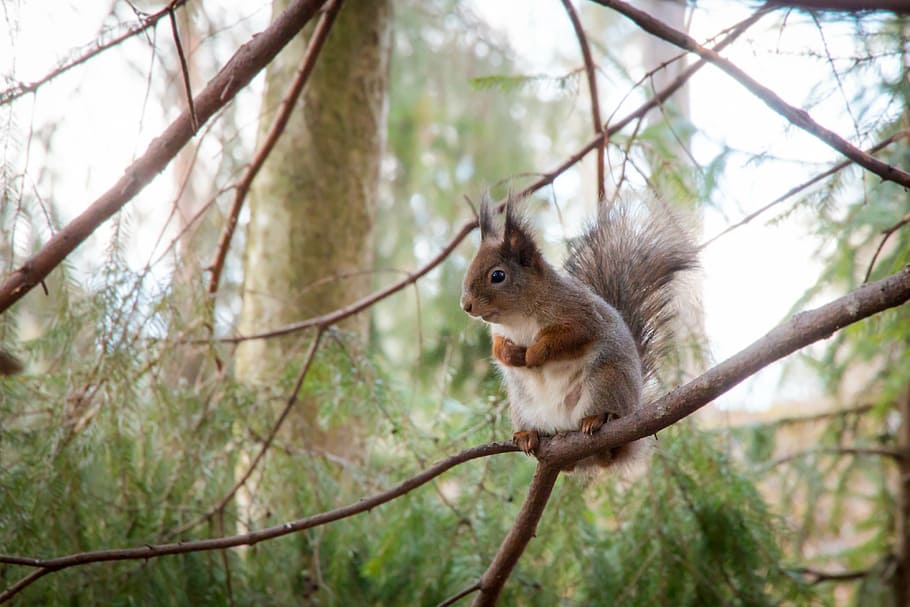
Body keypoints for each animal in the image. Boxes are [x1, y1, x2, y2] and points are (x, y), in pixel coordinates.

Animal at [460, 194, 697, 467]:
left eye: (498, 275)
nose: (466, 306)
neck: (517, 316)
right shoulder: (499, 332)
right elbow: (497, 347)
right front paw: (510, 355)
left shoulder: (581, 316)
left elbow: (566, 338)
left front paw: (532, 354)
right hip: (522, 406)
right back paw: (527, 435)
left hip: (605, 381)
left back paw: (598, 420)